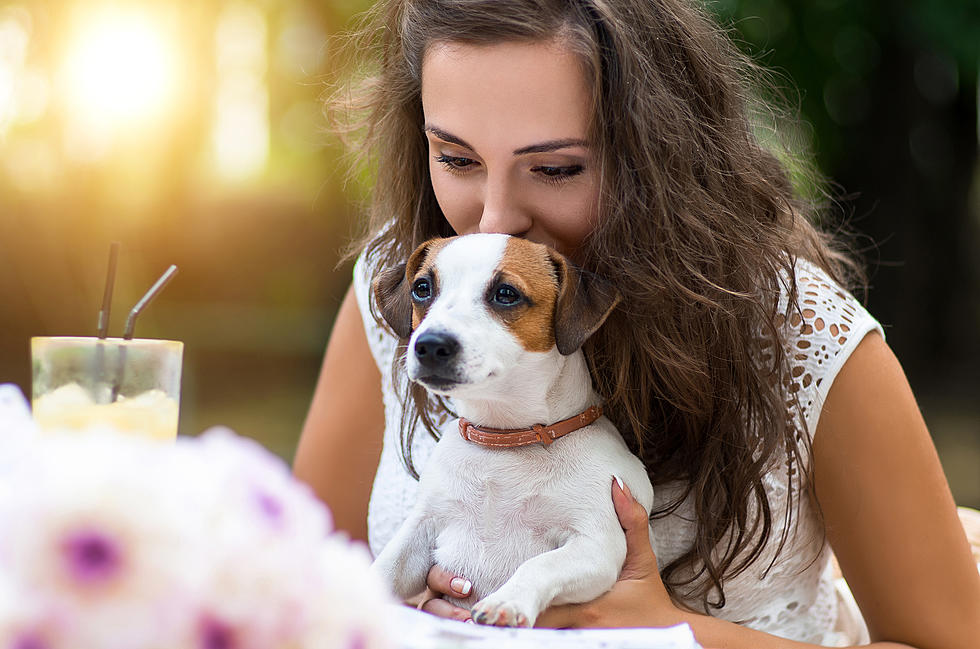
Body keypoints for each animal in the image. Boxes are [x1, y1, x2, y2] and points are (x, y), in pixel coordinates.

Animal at [372, 234, 656, 628]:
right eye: (422, 288)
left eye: (506, 293)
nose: (430, 345)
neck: (504, 441)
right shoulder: (422, 527)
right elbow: (384, 567)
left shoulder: (596, 542)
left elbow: (540, 565)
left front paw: (507, 600)